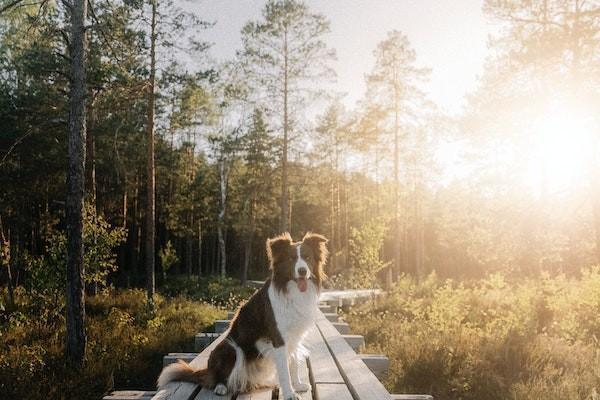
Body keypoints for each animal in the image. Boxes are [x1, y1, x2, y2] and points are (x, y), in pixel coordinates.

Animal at [156, 233, 328, 398]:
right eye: (291, 259)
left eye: (307, 257)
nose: (302, 271)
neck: (292, 290)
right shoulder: (278, 338)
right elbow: (284, 370)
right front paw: (290, 394)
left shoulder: (294, 337)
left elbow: (293, 363)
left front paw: (297, 385)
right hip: (231, 348)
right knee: (217, 378)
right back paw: (220, 387)